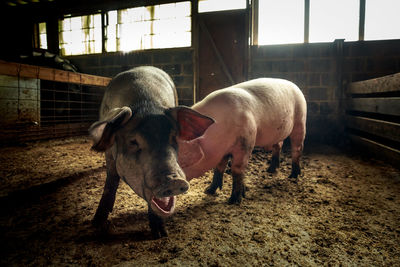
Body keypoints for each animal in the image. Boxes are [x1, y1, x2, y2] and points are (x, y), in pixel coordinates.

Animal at [87, 67, 212, 239]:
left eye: (173, 137)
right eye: (133, 141)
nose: (174, 181)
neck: (146, 105)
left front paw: (160, 234)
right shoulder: (109, 157)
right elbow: (110, 182)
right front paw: (95, 224)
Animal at [175, 78, 306, 204]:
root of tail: (295, 85)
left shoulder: (246, 142)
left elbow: (237, 169)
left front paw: (234, 201)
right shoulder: (223, 150)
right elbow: (219, 167)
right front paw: (208, 191)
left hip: (300, 119)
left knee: (297, 147)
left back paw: (293, 176)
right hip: (279, 132)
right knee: (279, 145)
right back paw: (270, 170)